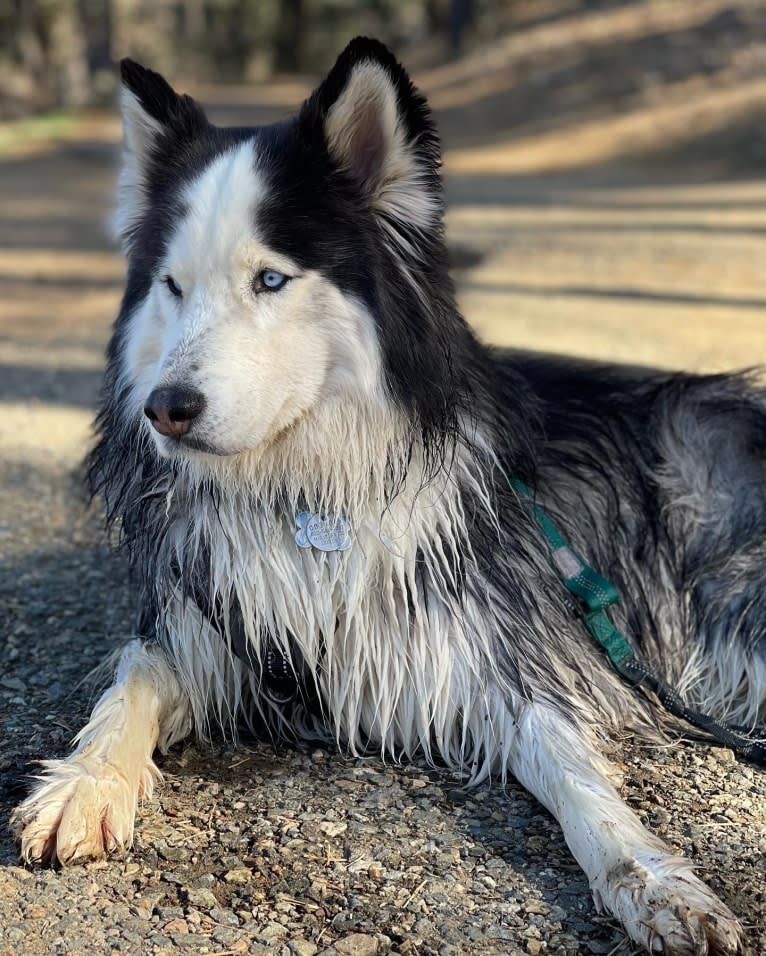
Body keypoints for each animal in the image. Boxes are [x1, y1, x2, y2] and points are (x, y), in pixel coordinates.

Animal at [12, 33, 766, 952]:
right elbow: (131, 683)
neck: (309, 492)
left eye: (271, 280)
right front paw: (85, 781)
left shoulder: (499, 650)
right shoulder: (214, 624)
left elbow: (578, 777)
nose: (165, 410)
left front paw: (654, 880)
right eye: (172, 286)